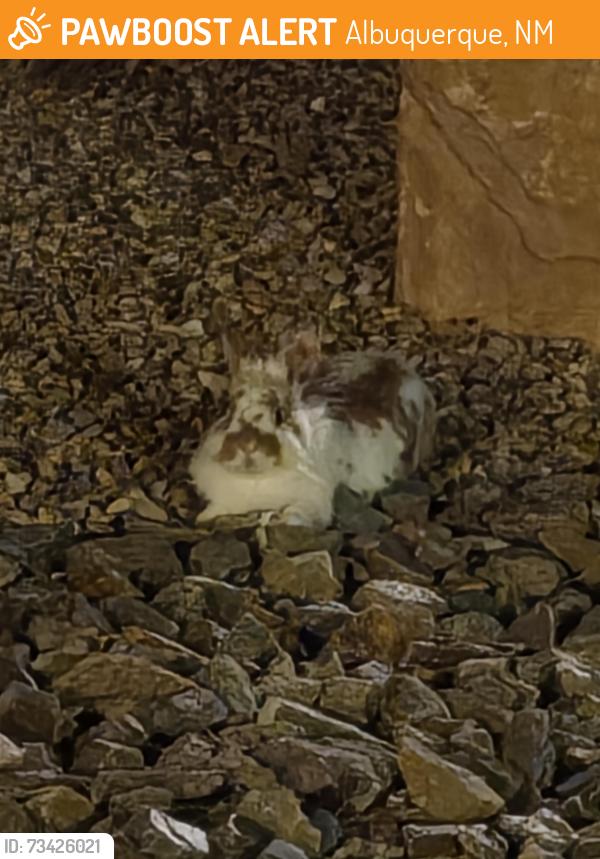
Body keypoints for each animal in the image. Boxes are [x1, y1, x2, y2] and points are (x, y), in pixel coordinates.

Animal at [190, 321, 435, 528]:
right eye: (228, 410)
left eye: (279, 415)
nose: (247, 446)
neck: (255, 480)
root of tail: (402, 367)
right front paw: (203, 518)